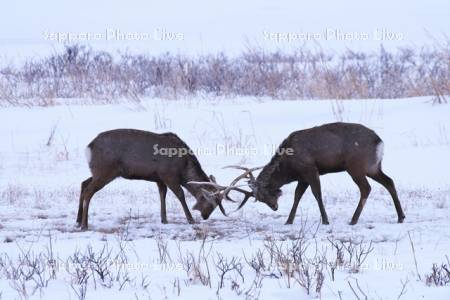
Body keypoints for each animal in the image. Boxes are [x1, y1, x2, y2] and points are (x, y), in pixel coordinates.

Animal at [76, 128, 229, 230]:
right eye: (211, 204)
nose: (205, 216)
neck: (183, 169)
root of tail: (88, 147)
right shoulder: (169, 175)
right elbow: (180, 195)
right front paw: (190, 220)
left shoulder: (159, 178)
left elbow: (162, 195)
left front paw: (164, 220)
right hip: (105, 170)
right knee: (89, 191)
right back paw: (84, 225)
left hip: (99, 172)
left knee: (83, 184)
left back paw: (77, 220)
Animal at [195, 122, 406, 225]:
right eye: (261, 199)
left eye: (264, 194)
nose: (274, 207)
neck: (288, 168)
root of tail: (379, 142)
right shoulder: (302, 177)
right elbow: (297, 196)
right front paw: (288, 220)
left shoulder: (310, 169)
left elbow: (317, 194)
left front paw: (325, 220)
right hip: (373, 167)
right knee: (389, 181)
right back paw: (400, 216)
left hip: (356, 166)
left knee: (366, 188)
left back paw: (353, 220)